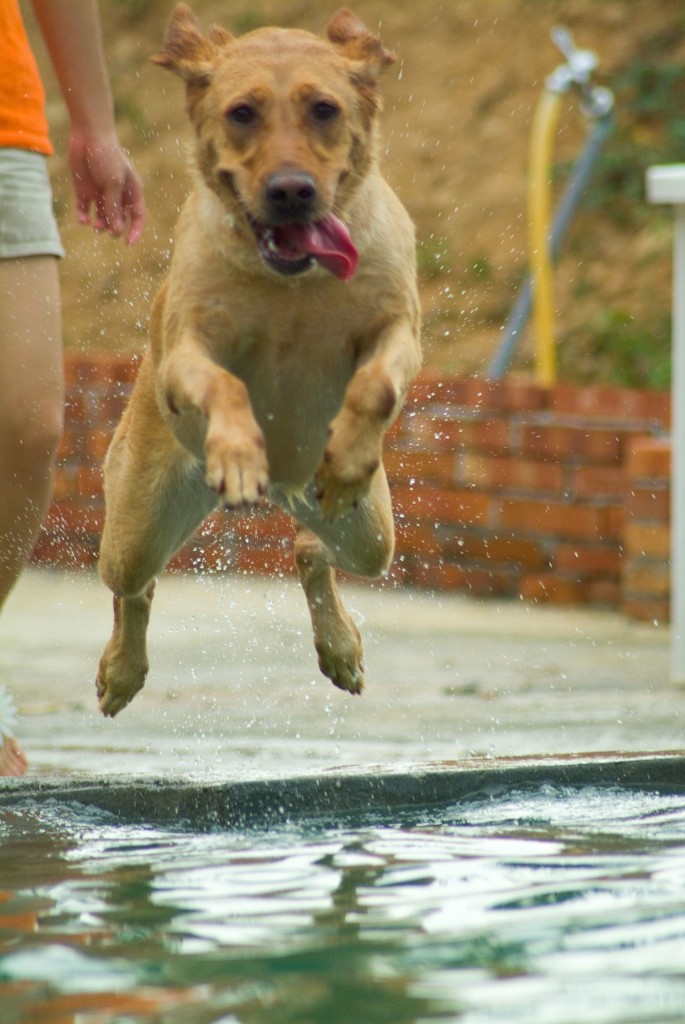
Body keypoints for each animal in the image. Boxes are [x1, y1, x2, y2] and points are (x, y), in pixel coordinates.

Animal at [94, 4, 419, 716]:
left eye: (324, 108)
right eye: (242, 112)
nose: (291, 190)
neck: (290, 284)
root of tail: (286, 488)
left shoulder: (398, 328)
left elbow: (377, 386)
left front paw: (348, 455)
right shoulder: (187, 351)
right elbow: (224, 384)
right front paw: (239, 449)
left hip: (369, 535)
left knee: (313, 548)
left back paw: (339, 643)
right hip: (135, 524)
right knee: (135, 585)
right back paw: (122, 669)